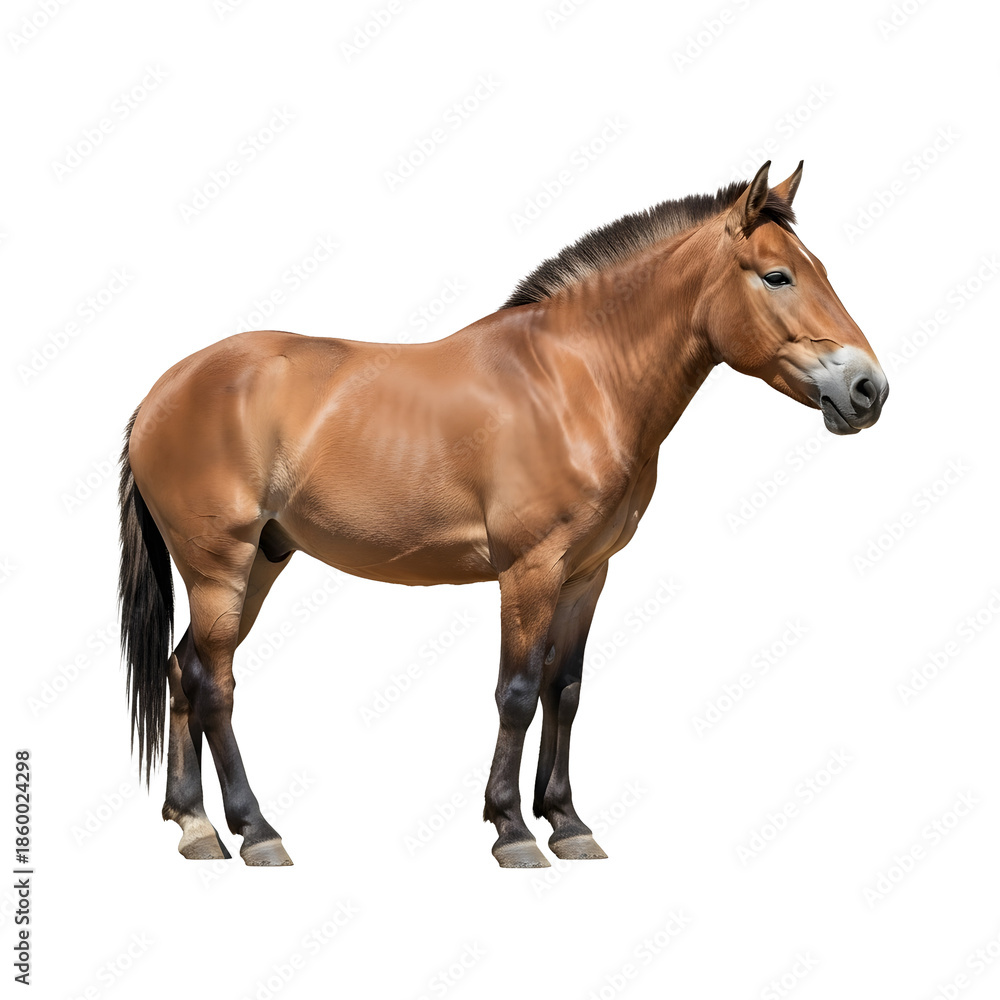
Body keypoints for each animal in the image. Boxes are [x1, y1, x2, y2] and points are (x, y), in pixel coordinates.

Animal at [118, 160, 888, 868]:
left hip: (262, 560)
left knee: (184, 669)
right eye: (778, 276)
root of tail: (161, 393)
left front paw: (569, 823)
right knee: (215, 683)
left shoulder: (586, 573)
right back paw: (256, 831)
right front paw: (513, 830)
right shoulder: (530, 569)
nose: (868, 389)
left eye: (817, 270)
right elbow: (516, 692)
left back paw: (195, 826)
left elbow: (564, 689)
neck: (576, 380)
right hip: (219, 565)